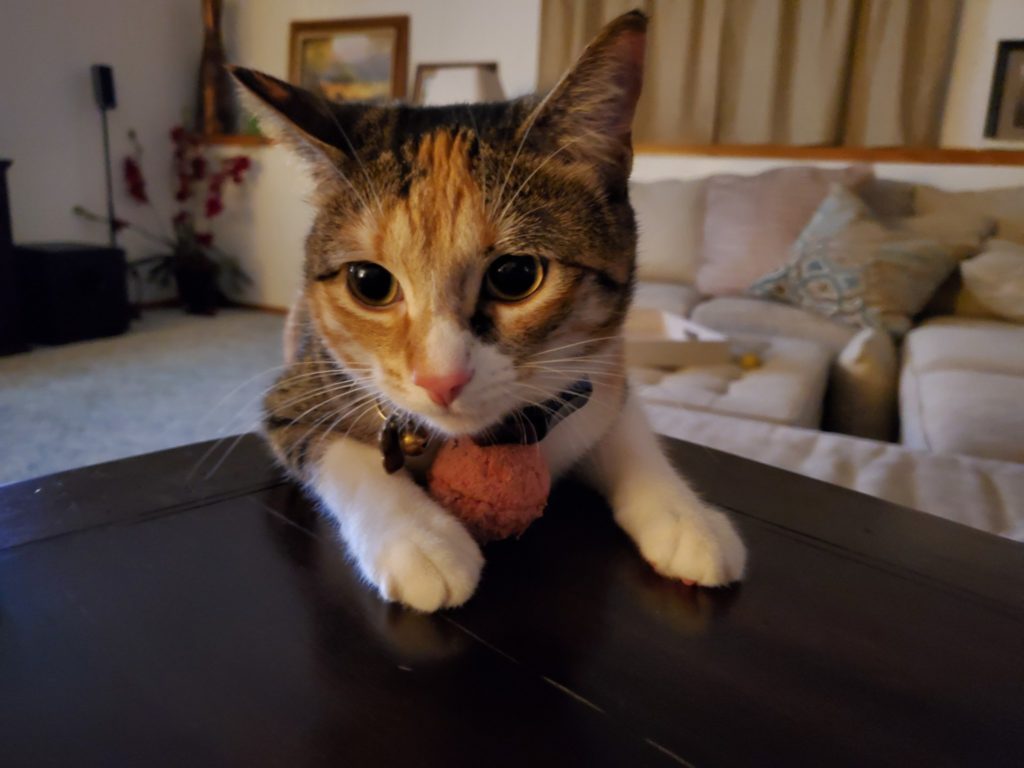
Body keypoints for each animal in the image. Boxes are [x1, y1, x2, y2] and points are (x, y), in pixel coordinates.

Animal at [232, 10, 745, 614]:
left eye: (516, 275)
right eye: (370, 282)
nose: (440, 379)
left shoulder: (604, 370)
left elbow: (623, 427)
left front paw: (689, 521)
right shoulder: (297, 392)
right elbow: (338, 451)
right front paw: (423, 540)